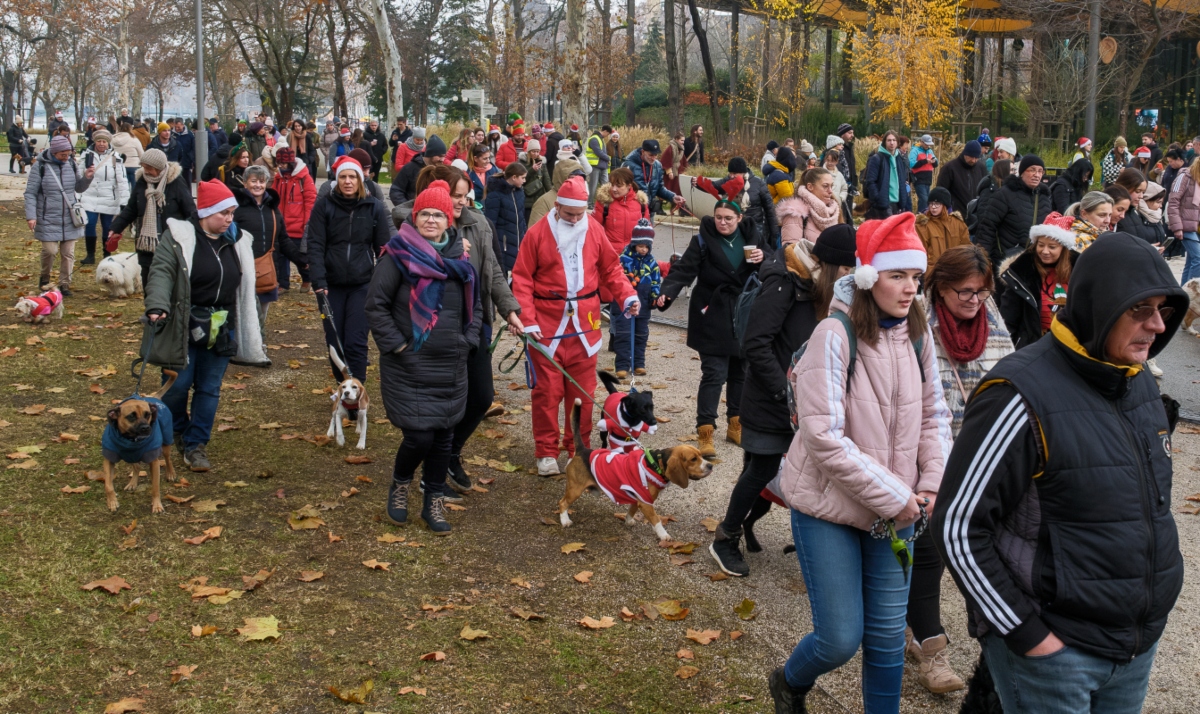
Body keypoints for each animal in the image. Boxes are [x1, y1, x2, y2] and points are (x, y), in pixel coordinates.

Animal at [102, 372, 180, 516]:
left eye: (148, 414)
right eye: (131, 416)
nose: (146, 428)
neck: (130, 439)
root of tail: (154, 397)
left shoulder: (153, 461)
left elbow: (155, 487)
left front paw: (157, 505)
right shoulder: (109, 458)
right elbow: (108, 485)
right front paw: (112, 502)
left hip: (166, 443)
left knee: (167, 458)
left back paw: (171, 473)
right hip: (132, 456)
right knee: (137, 467)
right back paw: (133, 483)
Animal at [559, 396, 710, 542]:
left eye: (701, 455)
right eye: (693, 459)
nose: (710, 465)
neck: (656, 464)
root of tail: (582, 450)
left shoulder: (637, 499)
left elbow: (631, 510)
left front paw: (628, 520)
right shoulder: (646, 503)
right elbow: (656, 520)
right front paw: (663, 535)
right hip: (575, 489)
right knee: (562, 503)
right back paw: (565, 520)